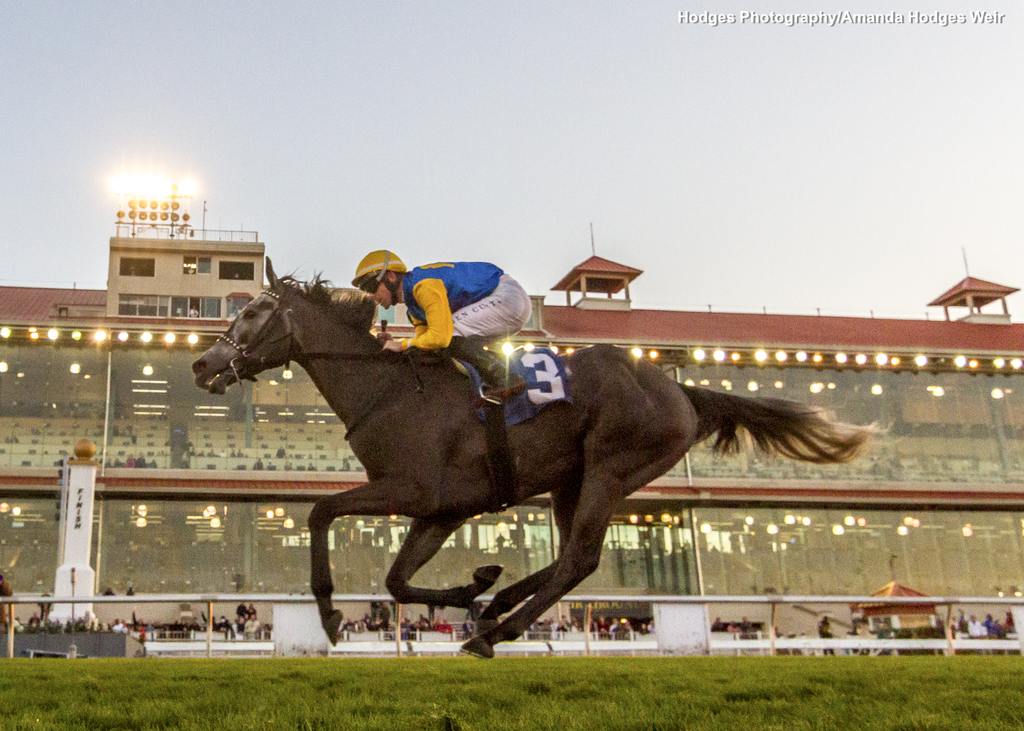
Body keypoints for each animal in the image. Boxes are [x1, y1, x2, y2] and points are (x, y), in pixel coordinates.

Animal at [193, 260, 872, 655]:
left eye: (252, 312)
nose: (202, 363)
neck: (386, 389)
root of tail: (680, 389)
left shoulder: (411, 490)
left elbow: (319, 514)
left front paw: (332, 615)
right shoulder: (443, 510)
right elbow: (396, 579)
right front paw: (470, 585)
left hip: (610, 469)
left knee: (580, 558)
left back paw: (497, 630)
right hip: (573, 480)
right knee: (570, 559)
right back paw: (495, 607)